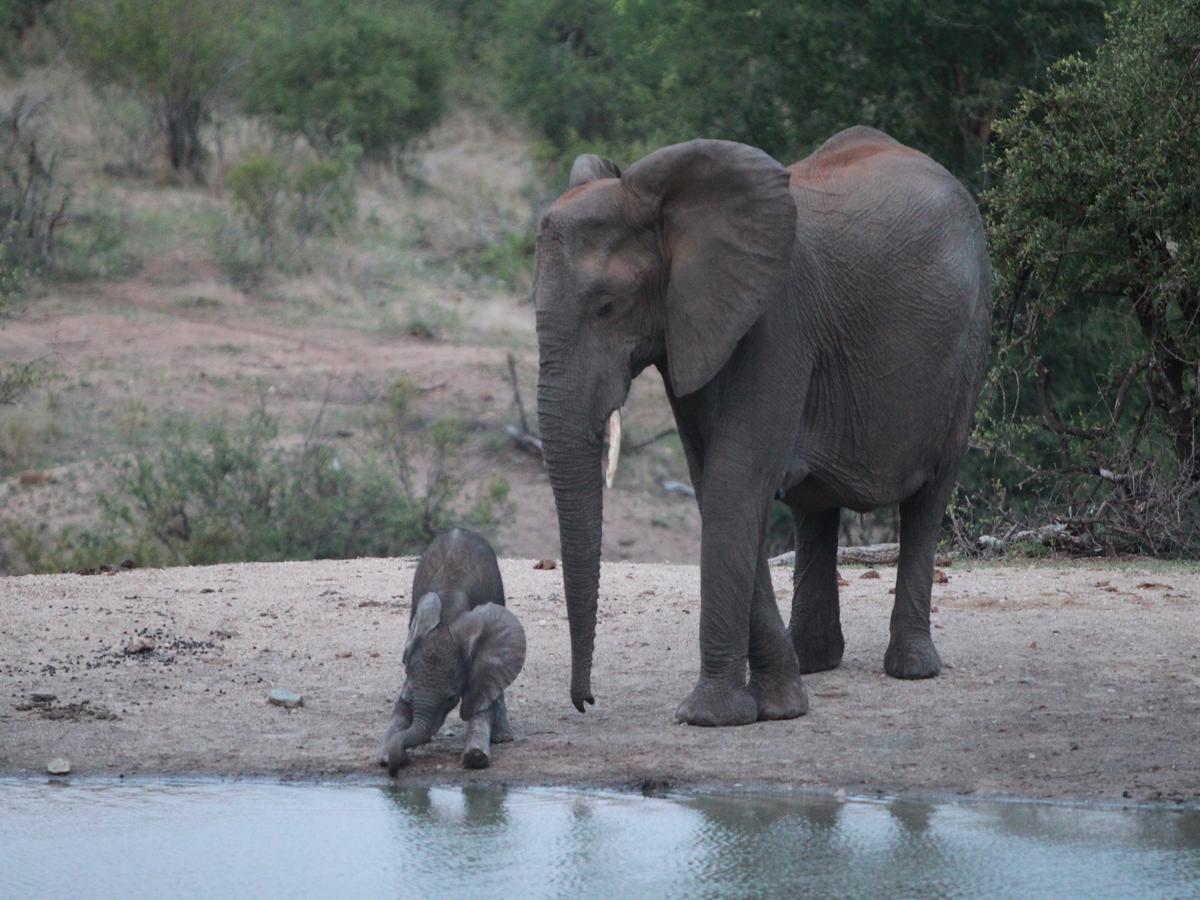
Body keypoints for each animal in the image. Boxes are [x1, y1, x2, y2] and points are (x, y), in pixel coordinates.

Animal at [376, 528, 523, 777]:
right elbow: (399, 710)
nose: (395, 771)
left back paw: (503, 738)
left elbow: (481, 708)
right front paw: (388, 755)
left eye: (451, 699)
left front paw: (475, 756)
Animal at [537, 127, 993, 729]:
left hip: (968, 346)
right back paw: (815, 660)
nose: (585, 701)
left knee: (930, 493)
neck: (670, 211)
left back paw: (912, 668)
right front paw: (778, 703)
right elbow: (716, 483)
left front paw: (714, 716)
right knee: (815, 508)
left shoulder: (775, 322)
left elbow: (737, 476)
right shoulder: (692, 324)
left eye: (608, 306)